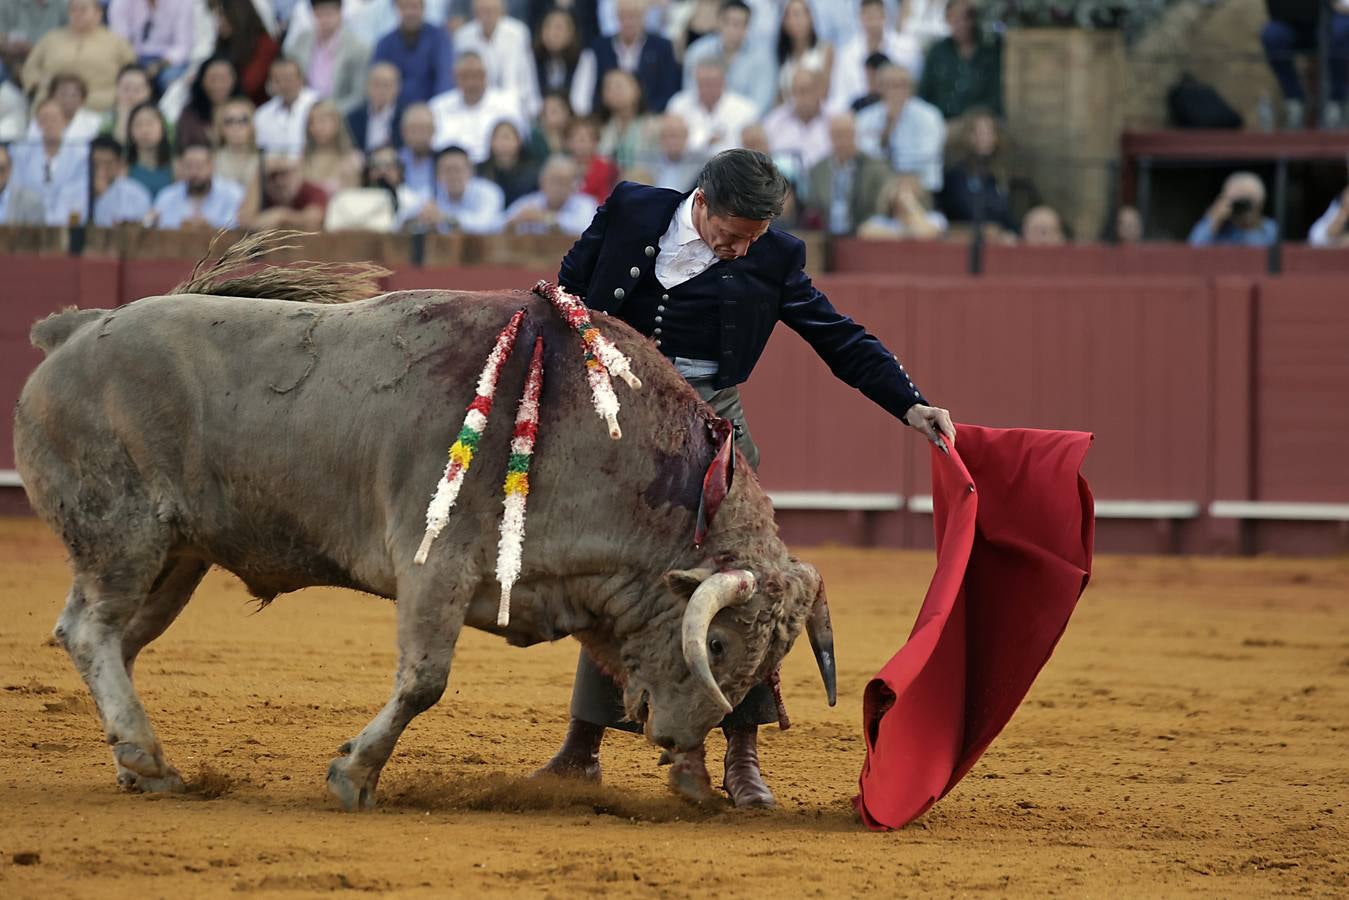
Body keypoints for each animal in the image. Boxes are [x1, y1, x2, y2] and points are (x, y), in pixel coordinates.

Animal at [18, 236, 830, 814]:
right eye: (716, 643)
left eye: (767, 662)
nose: (676, 736)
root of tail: (79, 328)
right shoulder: (432, 565)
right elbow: (424, 681)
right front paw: (352, 776)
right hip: (124, 537)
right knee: (90, 630)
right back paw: (149, 761)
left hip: (177, 558)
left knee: (113, 640)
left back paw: (137, 763)